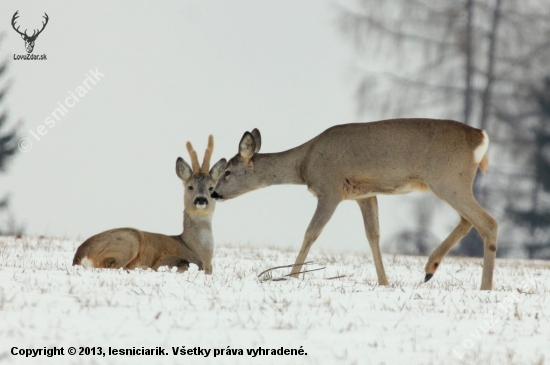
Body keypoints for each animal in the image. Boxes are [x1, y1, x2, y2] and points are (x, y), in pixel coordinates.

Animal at [73, 136, 226, 272]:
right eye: (190, 187)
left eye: (211, 188)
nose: (201, 199)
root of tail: (79, 256)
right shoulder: (165, 257)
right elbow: (183, 263)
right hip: (129, 240)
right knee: (111, 265)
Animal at [212, 119, 500, 290]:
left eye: (227, 171)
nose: (213, 194)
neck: (304, 163)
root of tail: (481, 137)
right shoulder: (364, 194)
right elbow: (373, 235)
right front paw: (384, 282)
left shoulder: (330, 188)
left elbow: (311, 233)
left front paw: (291, 277)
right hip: (451, 182)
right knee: (468, 221)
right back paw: (430, 269)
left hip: (447, 179)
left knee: (488, 222)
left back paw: (484, 287)